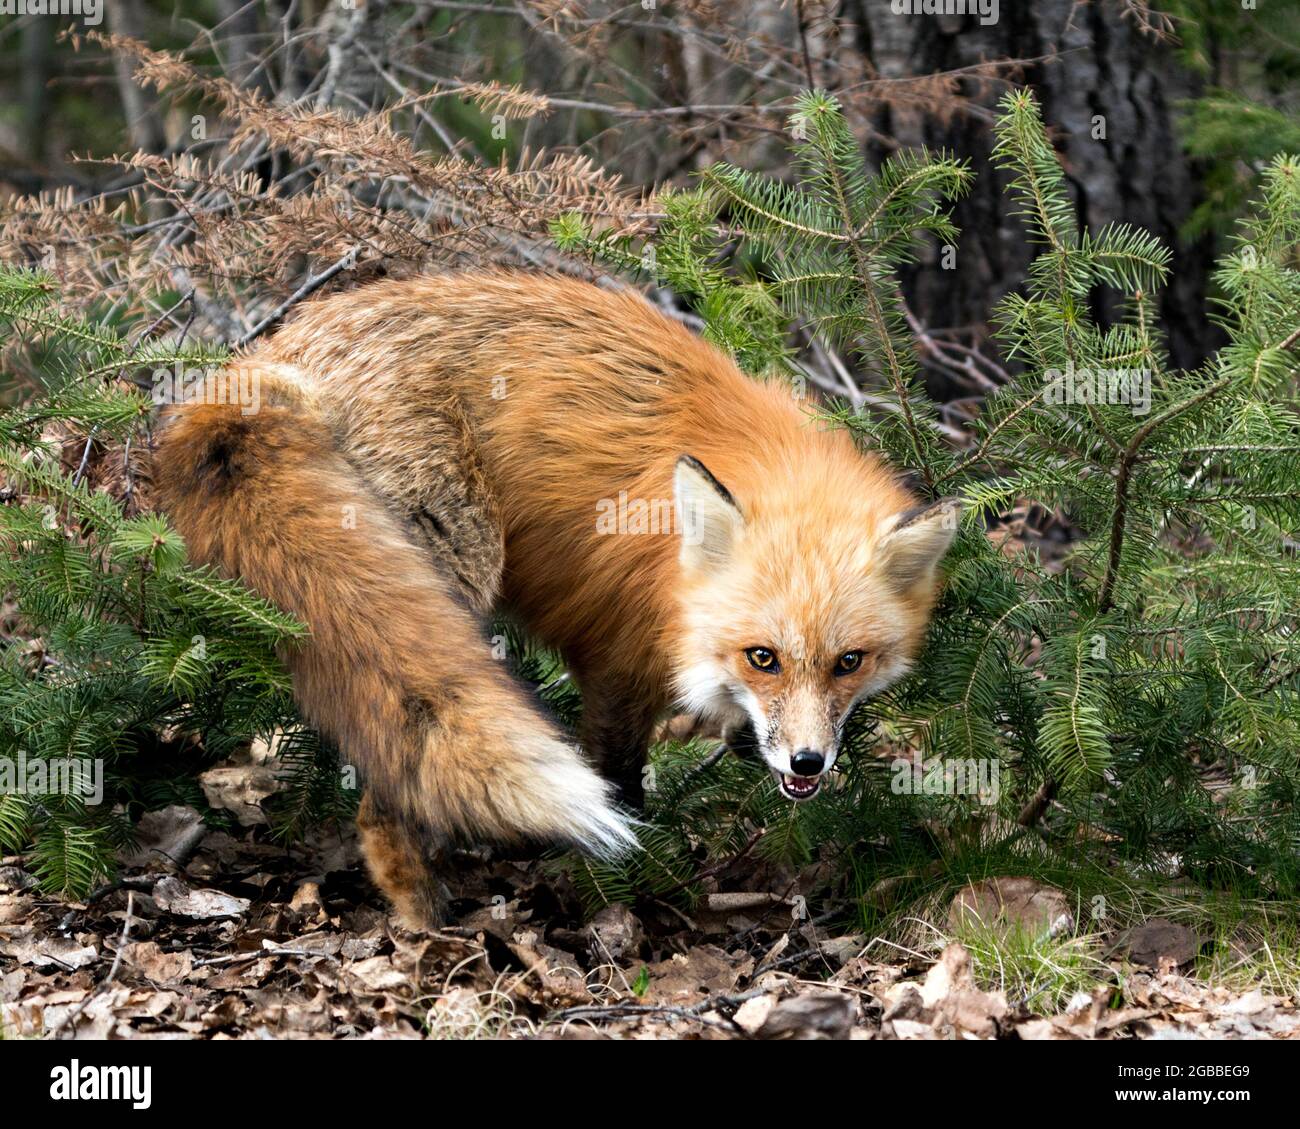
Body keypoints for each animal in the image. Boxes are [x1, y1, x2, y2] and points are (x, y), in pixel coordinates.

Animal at [154, 271, 960, 928]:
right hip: (455, 571)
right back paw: (423, 916)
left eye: (849, 662)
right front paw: (622, 888)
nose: (808, 764)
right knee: (388, 791)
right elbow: (621, 785)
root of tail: (262, 368)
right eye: (763, 657)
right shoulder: (617, 657)